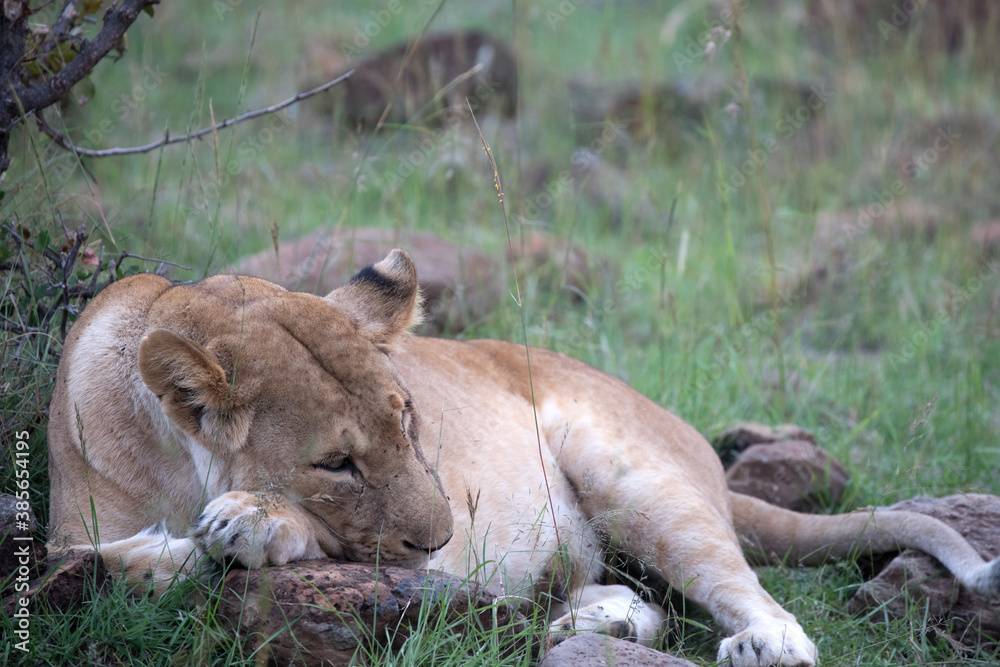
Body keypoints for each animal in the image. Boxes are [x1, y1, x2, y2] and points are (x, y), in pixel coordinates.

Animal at [48, 249, 1000, 667]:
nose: (441, 542)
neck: (175, 463)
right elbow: (86, 557)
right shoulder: (71, 522)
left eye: (411, 421)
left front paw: (245, 523)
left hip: (632, 477)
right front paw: (167, 552)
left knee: (755, 597)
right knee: (631, 603)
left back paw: (761, 641)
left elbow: (306, 541)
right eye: (337, 463)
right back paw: (588, 621)